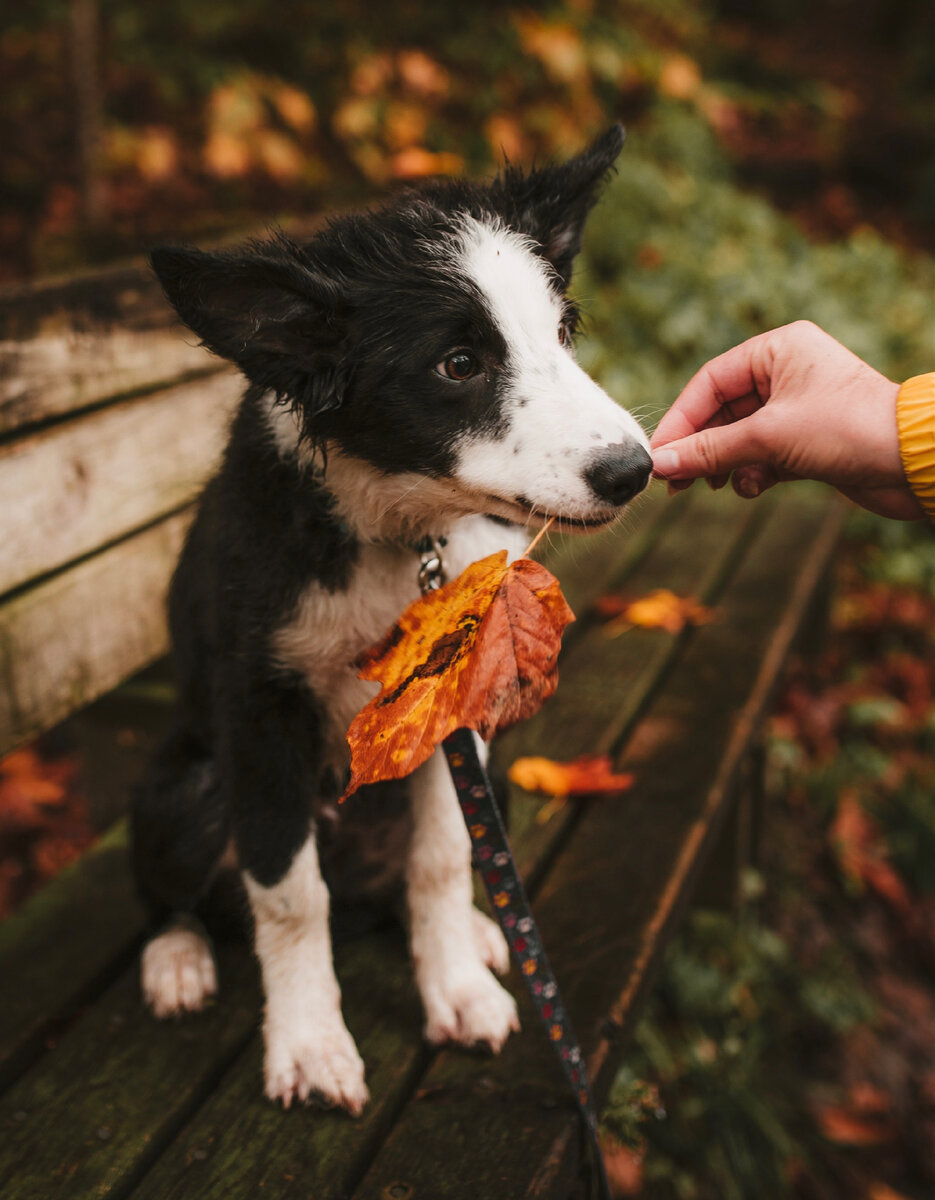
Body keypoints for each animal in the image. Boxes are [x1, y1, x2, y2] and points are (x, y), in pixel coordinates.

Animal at [133, 124, 652, 1113]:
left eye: (562, 331)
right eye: (458, 365)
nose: (632, 471)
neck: (398, 534)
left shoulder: (455, 707)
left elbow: (443, 857)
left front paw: (455, 990)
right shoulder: (259, 710)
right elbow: (287, 892)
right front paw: (308, 1046)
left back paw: (482, 938)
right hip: (184, 784)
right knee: (172, 890)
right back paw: (177, 960)